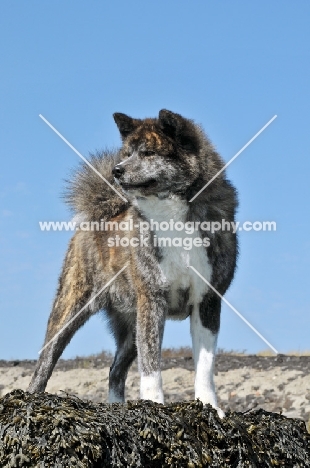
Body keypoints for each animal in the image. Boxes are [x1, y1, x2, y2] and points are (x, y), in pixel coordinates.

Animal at [28, 109, 237, 416]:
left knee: (115, 370)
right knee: (44, 363)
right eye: (127, 153)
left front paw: (210, 407)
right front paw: (155, 404)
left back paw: (117, 408)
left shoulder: (207, 301)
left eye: (148, 152)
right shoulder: (152, 299)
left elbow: (205, 367)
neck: (172, 215)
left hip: (130, 326)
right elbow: (151, 366)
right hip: (71, 310)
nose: (116, 170)